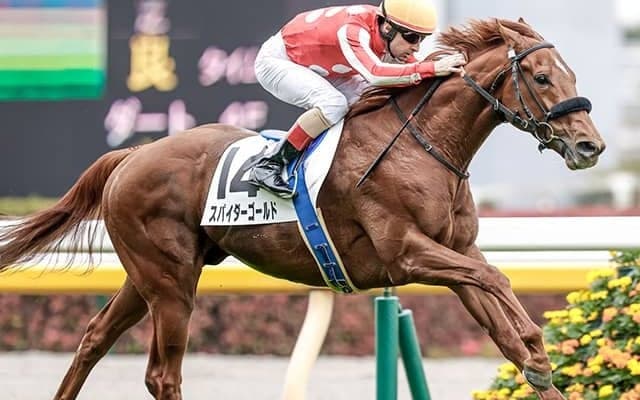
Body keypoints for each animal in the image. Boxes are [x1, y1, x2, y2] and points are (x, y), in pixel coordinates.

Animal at [0, 18, 604, 400]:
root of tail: (132, 154)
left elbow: (502, 323)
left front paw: (537, 361)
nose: (590, 146)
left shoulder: (455, 255)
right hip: (170, 284)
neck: (424, 145)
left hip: (149, 275)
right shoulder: (408, 254)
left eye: (573, 74)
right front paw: (537, 349)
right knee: (161, 375)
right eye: (543, 77)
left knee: (94, 339)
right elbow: (499, 279)